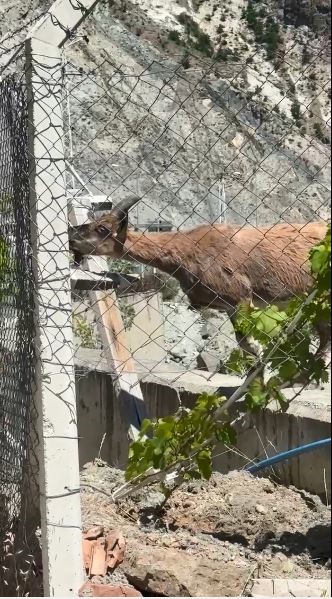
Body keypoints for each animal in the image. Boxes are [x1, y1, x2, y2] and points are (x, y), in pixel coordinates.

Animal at [68, 197, 330, 376]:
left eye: (102, 228)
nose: (71, 239)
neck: (187, 251)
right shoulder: (228, 305)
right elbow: (243, 341)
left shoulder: (241, 296)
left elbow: (248, 342)